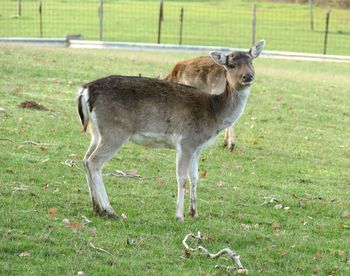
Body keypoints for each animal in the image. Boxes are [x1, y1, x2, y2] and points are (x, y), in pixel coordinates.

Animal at [76, 41, 262, 222]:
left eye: (251, 61)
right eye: (231, 65)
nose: (248, 76)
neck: (214, 113)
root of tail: (86, 90)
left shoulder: (197, 147)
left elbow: (195, 177)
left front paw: (194, 213)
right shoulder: (186, 141)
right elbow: (182, 178)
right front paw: (179, 216)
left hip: (96, 132)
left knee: (85, 159)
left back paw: (96, 207)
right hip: (114, 131)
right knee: (94, 161)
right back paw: (109, 210)